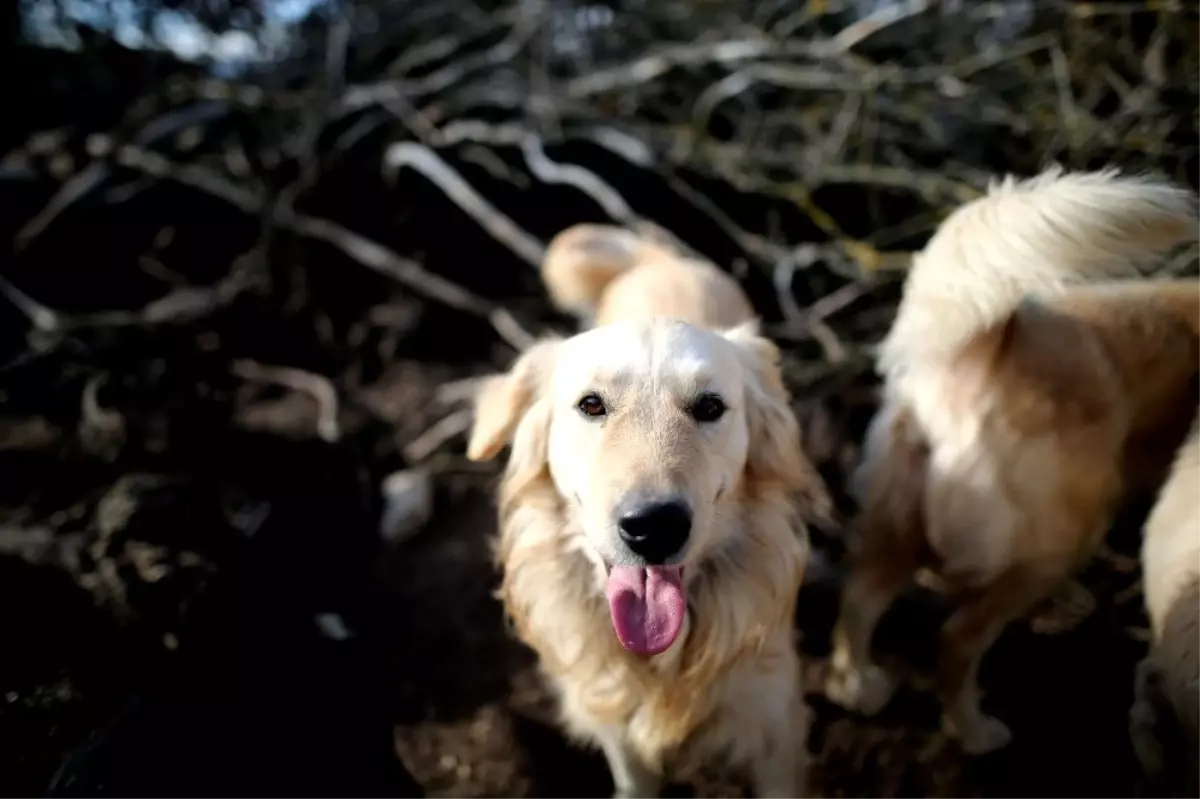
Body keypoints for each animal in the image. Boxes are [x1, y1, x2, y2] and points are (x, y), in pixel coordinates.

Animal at [463, 220, 830, 791]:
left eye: (710, 406)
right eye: (591, 405)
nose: (654, 527)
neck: (667, 663)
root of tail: (659, 257)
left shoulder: (774, 726)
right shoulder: (616, 724)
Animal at [820, 166, 1200, 753]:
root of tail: (983, 350)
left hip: (895, 524)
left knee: (860, 598)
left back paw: (857, 687)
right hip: (1057, 539)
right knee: (956, 638)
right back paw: (976, 732)